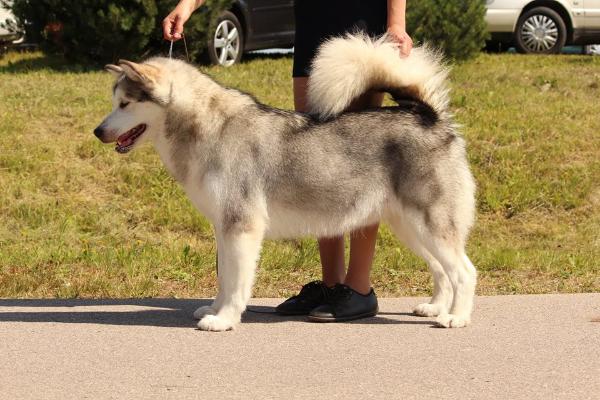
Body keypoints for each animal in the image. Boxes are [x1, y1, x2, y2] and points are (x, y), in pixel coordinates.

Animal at [94, 34, 478, 330]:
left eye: (125, 103)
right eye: (114, 102)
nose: (98, 131)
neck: (207, 129)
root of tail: (427, 115)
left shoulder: (242, 227)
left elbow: (237, 282)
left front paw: (225, 319)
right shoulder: (224, 227)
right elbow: (224, 278)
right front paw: (215, 309)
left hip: (430, 224)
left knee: (464, 271)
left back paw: (456, 318)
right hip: (410, 227)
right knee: (441, 270)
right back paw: (436, 307)